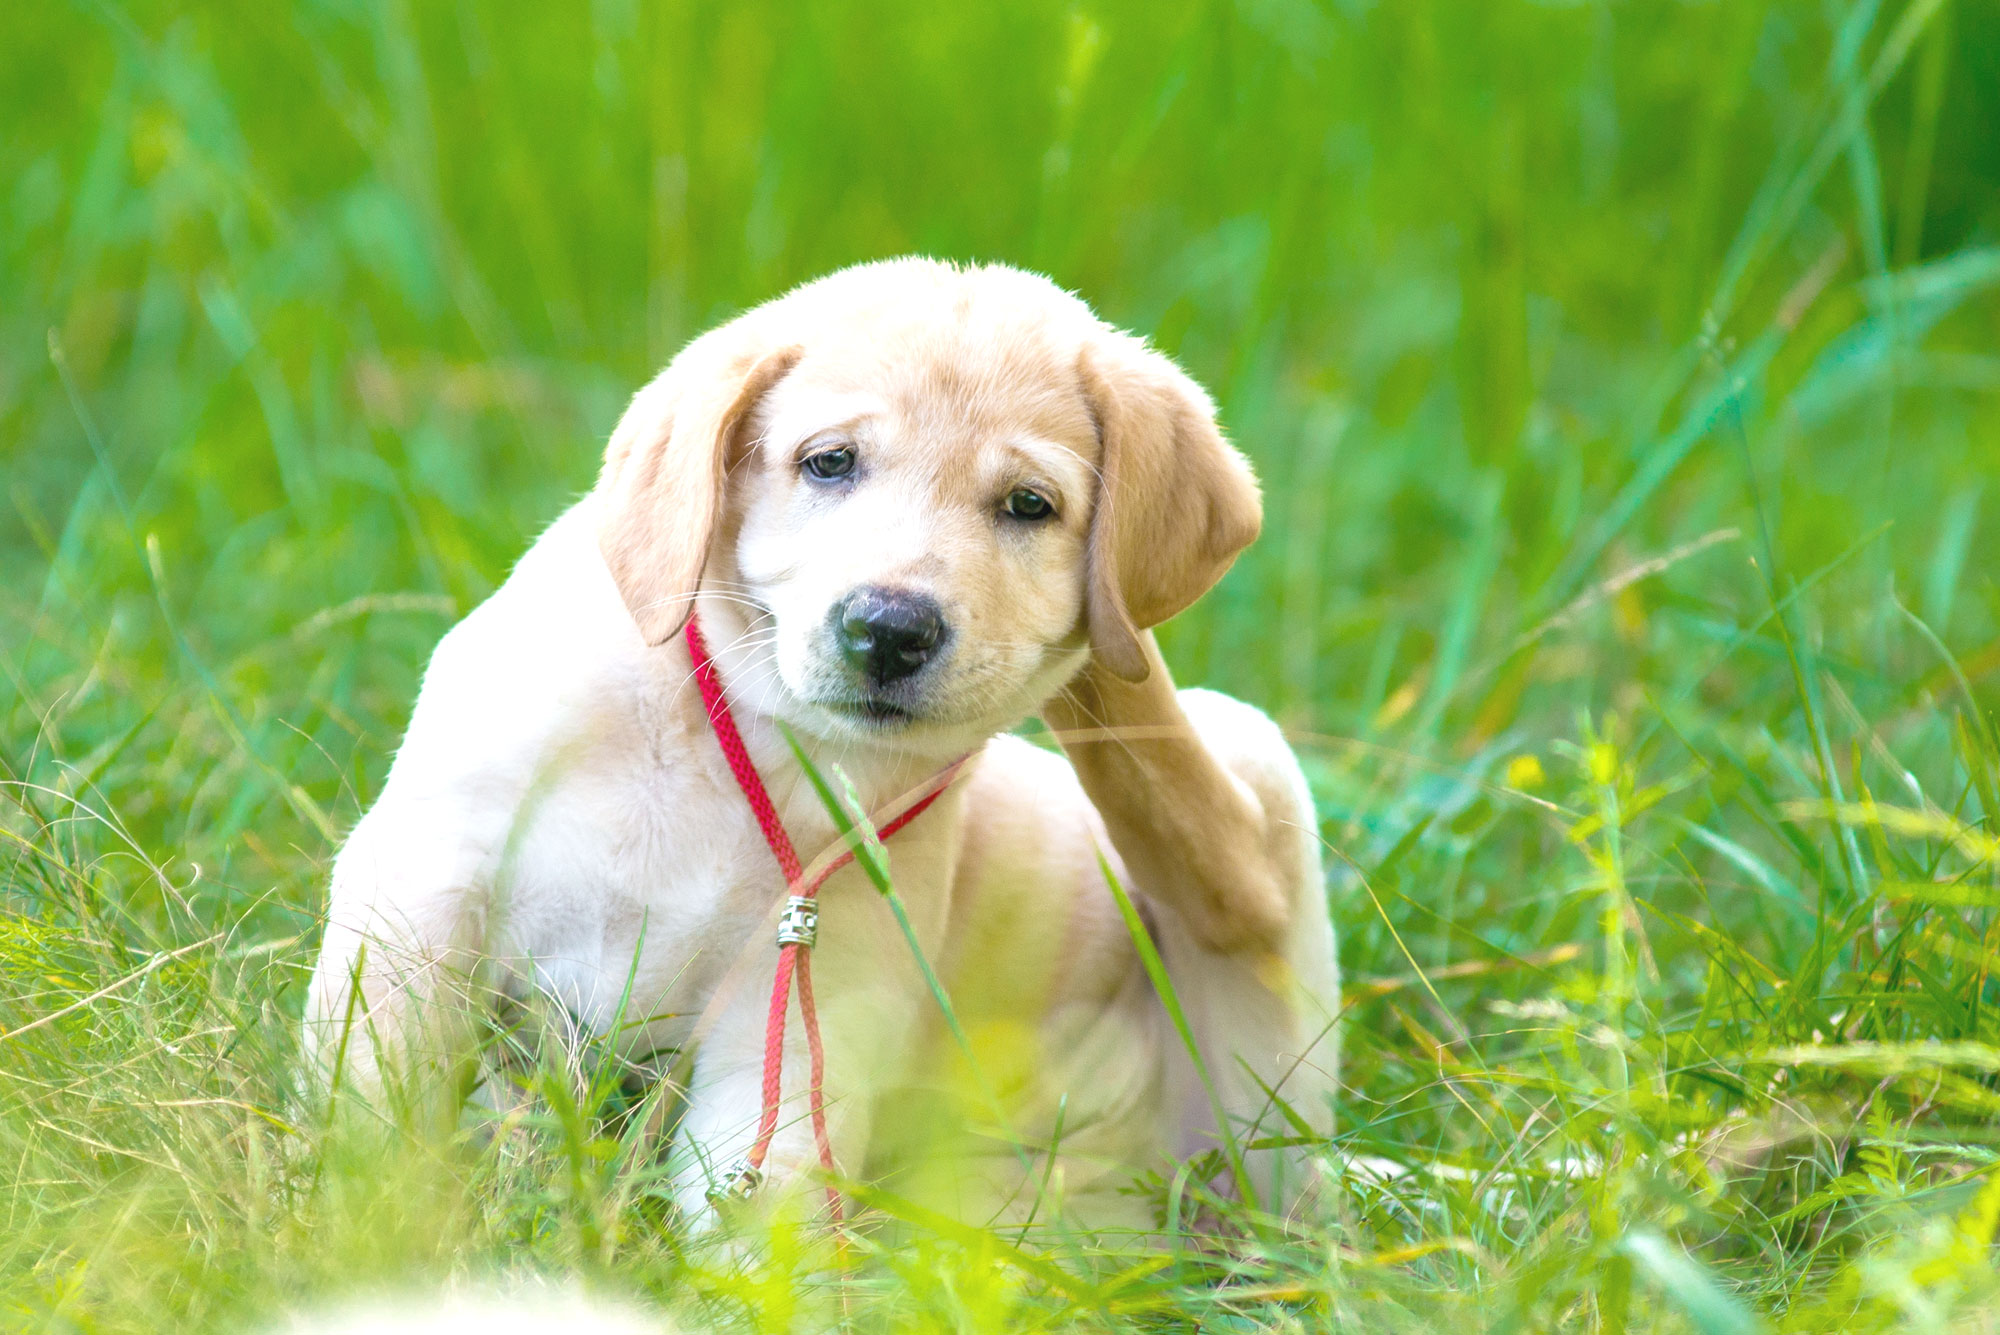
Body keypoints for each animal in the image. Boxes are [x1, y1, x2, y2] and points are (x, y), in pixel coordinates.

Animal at [304, 257, 1344, 1231]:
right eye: (831, 463)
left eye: (1029, 505)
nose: (889, 629)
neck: (745, 735)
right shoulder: (427, 884)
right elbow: (382, 1099)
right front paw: (368, 1227)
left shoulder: (809, 1002)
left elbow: (762, 1214)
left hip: (1252, 923)